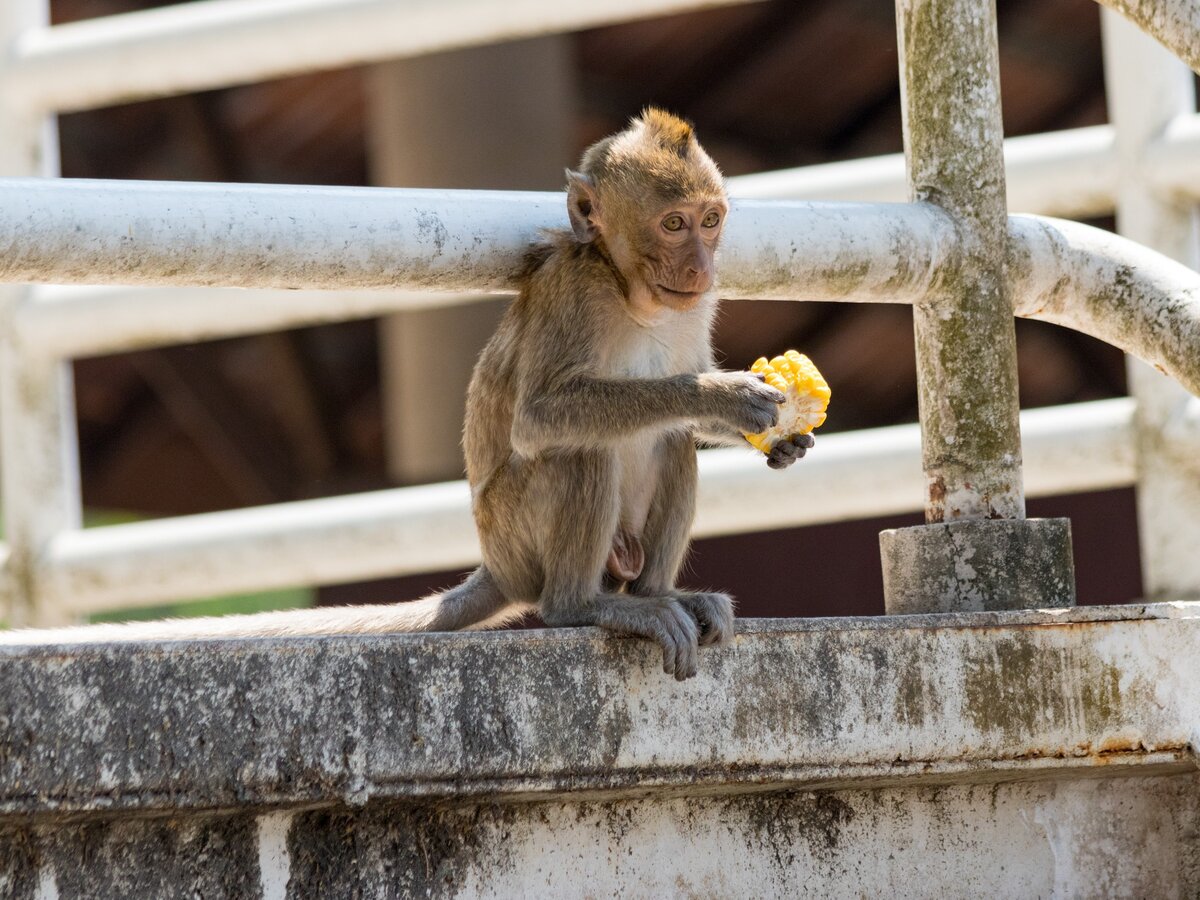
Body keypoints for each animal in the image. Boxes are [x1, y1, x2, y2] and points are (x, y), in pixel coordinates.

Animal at [0, 109, 811, 681]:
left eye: (710, 221)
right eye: (673, 224)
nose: (701, 265)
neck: (632, 292)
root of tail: (502, 566)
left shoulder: (694, 309)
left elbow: (680, 419)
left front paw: (777, 434)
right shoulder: (575, 294)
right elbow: (543, 416)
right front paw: (721, 395)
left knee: (667, 443)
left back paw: (656, 598)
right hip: (518, 529)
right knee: (577, 449)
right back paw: (587, 608)